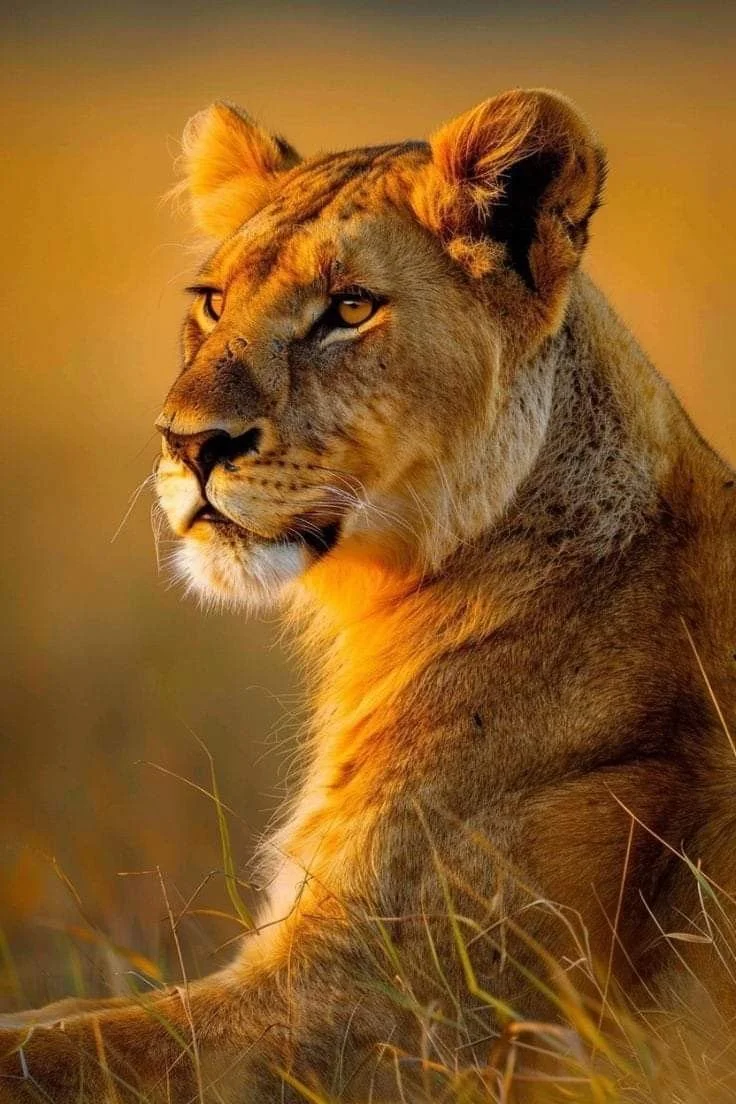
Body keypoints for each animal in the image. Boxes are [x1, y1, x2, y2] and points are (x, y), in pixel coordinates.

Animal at [1, 87, 735, 1103]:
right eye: (213, 302)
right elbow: (55, 1019)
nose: (187, 442)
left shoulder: (404, 1018)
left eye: (349, 308)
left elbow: (64, 1049)